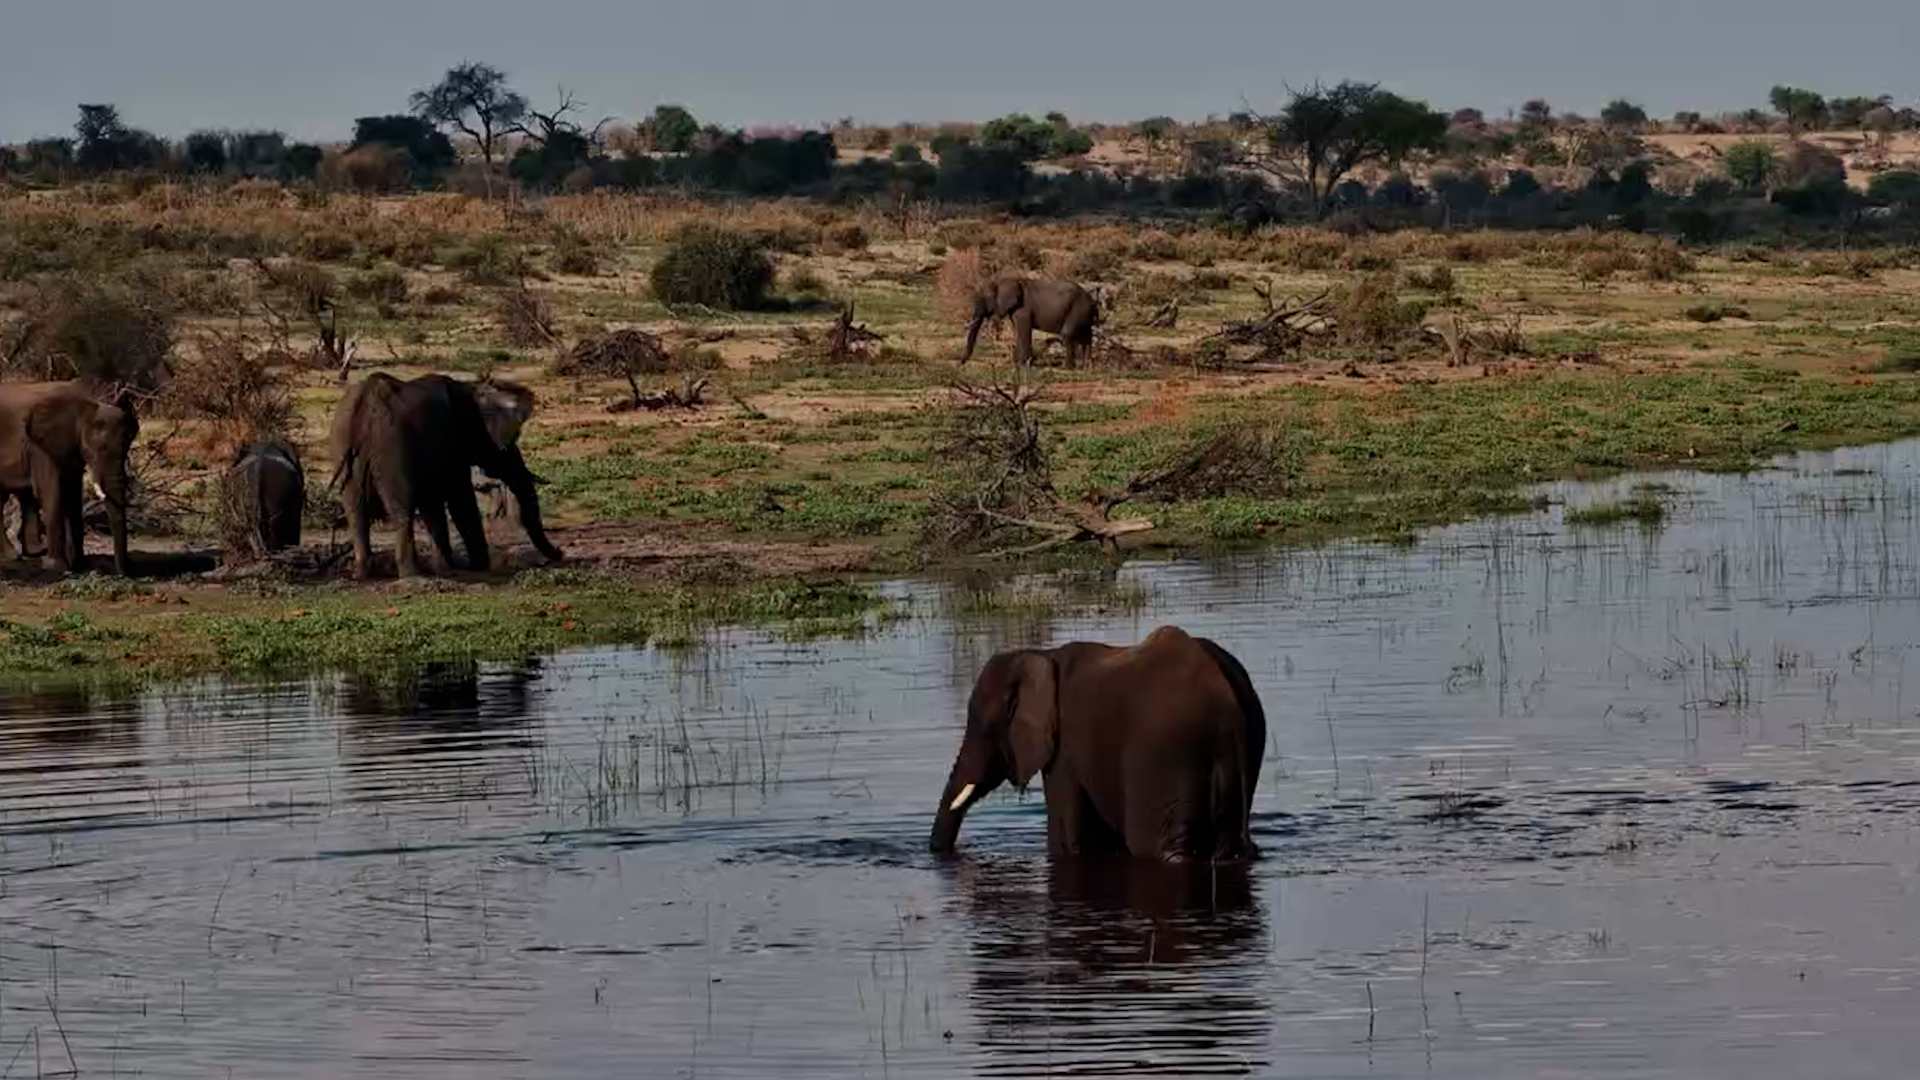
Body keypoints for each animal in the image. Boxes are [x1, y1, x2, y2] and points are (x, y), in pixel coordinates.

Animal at [0, 381, 138, 575]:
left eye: (127, 446)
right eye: (99, 449)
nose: (123, 573)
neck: (85, 404)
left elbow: (72, 497)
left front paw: (79, 564)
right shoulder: (39, 448)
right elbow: (51, 494)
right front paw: (57, 568)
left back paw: (34, 553)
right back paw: (12, 556)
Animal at [330, 372, 562, 580]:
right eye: (505, 446)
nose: (559, 554)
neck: (470, 388)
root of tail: (364, 406)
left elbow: (432, 503)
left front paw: (447, 568)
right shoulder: (451, 442)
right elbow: (460, 500)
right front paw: (478, 567)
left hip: (343, 441)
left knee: (355, 510)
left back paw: (362, 575)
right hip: (391, 445)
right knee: (401, 507)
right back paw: (411, 575)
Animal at [930, 625, 1266, 862]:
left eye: (986, 727)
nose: (940, 854)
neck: (1043, 656)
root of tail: (1227, 700)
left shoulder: (1064, 748)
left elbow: (1067, 839)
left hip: (1166, 752)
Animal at [961, 274, 1100, 367]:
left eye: (985, 299)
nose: (961, 363)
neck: (1004, 280)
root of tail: (1092, 300)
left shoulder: (1023, 309)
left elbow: (1024, 330)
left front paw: (1025, 366)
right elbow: (1018, 331)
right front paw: (1018, 364)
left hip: (1078, 309)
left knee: (1068, 334)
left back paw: (1068, 368)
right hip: (1084, 314)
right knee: (1086, 337)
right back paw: (1087, 368)